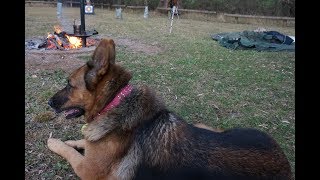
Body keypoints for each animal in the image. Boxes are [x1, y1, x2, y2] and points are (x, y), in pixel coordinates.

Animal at [47, 38, 292, 179]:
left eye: (68, 84)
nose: (48, 103)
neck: (114, 103)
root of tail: (285, 162)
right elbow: (81, 142)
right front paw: (73, 140)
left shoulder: (87, 170)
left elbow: (70, 151)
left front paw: (56, 142)